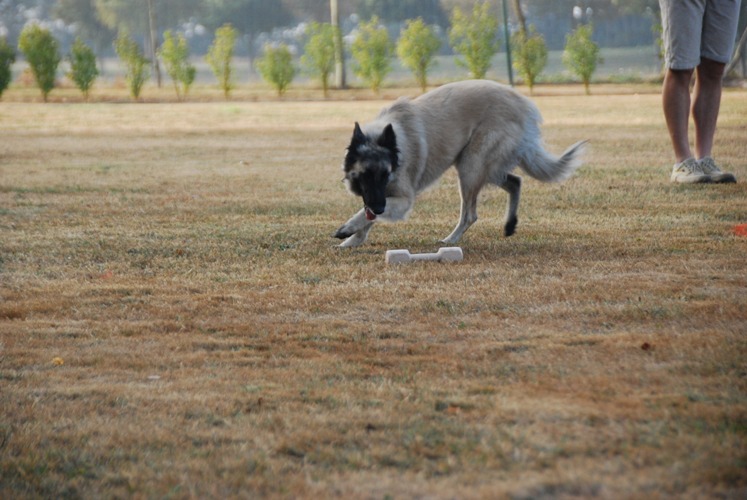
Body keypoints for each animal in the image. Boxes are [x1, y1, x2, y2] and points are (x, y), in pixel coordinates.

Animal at [336, 78, 588, 248]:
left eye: (384, 175)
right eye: (366, 175)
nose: (378, 206)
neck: (392, 142)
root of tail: (526, 107)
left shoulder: (401, 199)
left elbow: (370, 214)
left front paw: (348, 228)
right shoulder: (379, 196)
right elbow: (369, 216)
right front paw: (353, 240)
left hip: (470, 167)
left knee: (470, 215)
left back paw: (450, 240)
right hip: (482, 168)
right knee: (515, 181)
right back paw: (509, 224)